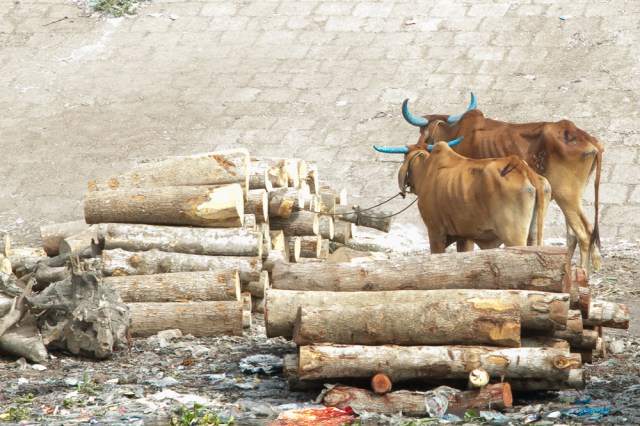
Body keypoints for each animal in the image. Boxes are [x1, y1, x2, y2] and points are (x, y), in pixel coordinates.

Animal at [374, 138, 551, 254]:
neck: (426, 169)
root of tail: (523, 168)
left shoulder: (435, 231)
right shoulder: (464, 236)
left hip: (514, 236)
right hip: (533, 234)